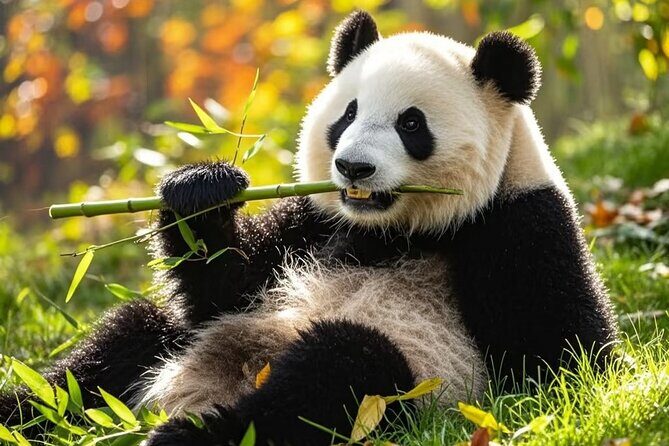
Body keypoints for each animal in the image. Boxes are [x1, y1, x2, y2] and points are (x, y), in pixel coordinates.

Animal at [0, 10, 618, 446]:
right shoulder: (312, 221)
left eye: (411, 124)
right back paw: (26, 415)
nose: (353, 168)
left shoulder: (519, 223)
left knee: (336, 374)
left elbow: (564, 362)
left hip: (410, 370)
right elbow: (225, 289)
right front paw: (201, 194)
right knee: (119, 344)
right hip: (179, 344)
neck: (396, 228)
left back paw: (188, 435)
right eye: (347, 114)